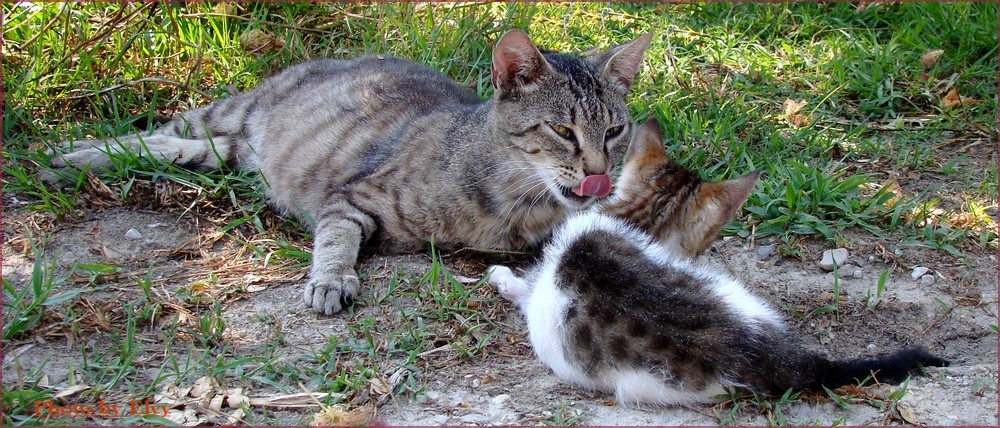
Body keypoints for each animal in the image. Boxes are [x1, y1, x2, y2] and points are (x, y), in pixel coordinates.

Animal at [48, 30, 656, 314]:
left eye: (614, 131)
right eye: (562, 131)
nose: (600, 172)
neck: (514, 199)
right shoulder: (353, 197)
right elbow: (336, 238)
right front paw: (332, 278)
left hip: (224, 152)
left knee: (177, 149)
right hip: (225, 113)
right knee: (153, 133)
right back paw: (73, 152)